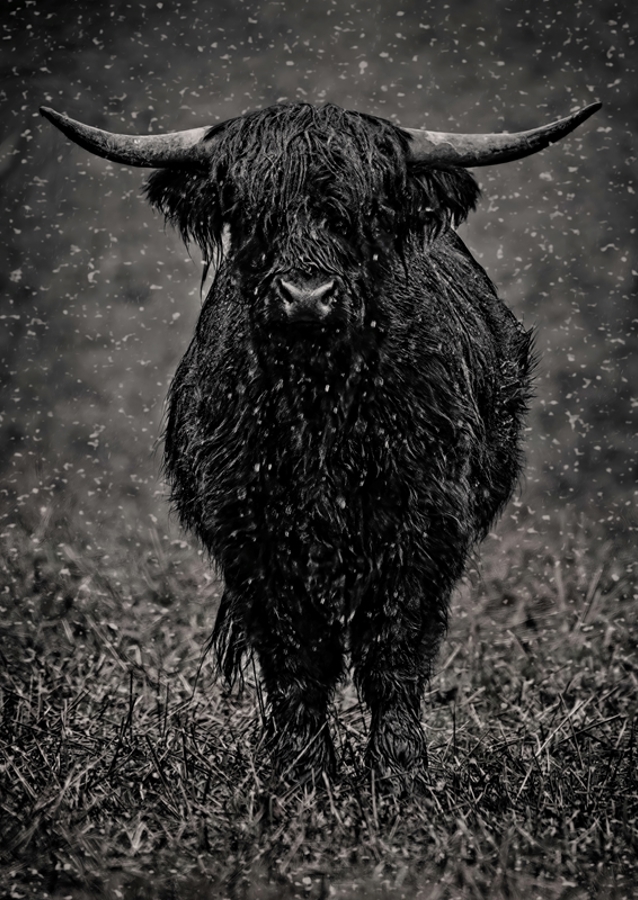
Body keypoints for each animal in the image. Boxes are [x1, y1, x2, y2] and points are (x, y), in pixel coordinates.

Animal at [41, 99, 600, 790]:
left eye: (367, 214)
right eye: (251, 211)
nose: (306, 296)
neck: (320, 405)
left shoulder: (424, 522)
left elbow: (394, 647)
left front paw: (398, 772)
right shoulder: (252, 532)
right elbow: (296, 654)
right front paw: (302, 770)